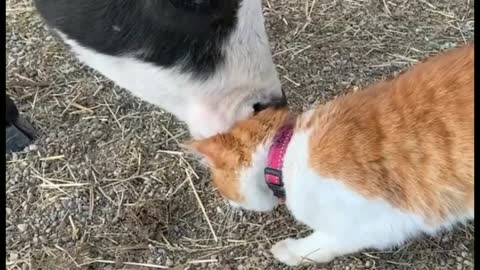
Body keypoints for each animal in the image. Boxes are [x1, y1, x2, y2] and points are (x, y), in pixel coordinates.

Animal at [189, 44, 474, 266]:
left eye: (222, 188)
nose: (229, 204)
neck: (282, 154)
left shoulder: (377, 224)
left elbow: (323, 242)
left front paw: (289, 251)